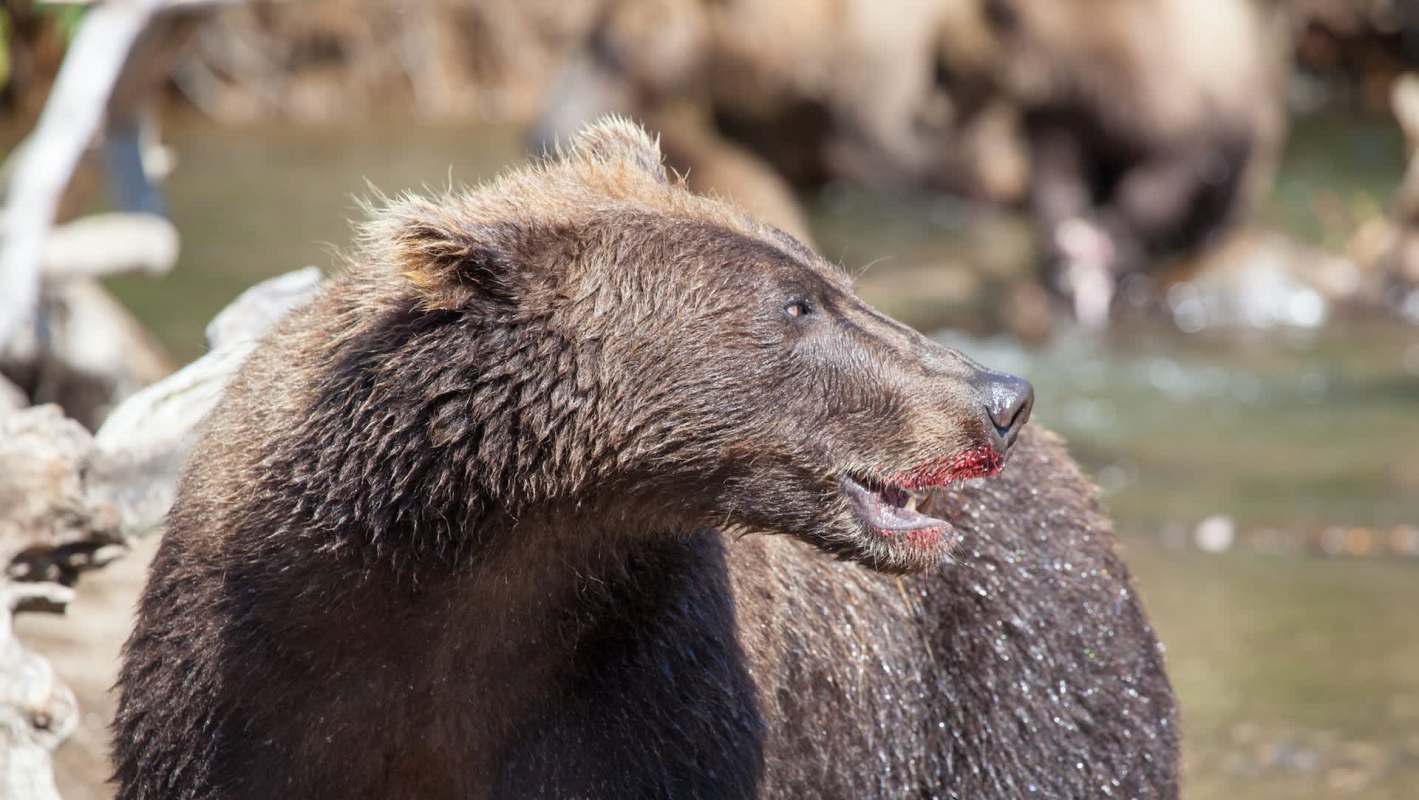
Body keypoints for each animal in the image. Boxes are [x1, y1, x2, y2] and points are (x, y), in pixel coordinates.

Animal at [112, 117, 1178, 799]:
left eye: (826, 278)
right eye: (798, 304)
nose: (1000, 400)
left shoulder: (640, 672)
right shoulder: (251, 678)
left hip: (1011, 680)